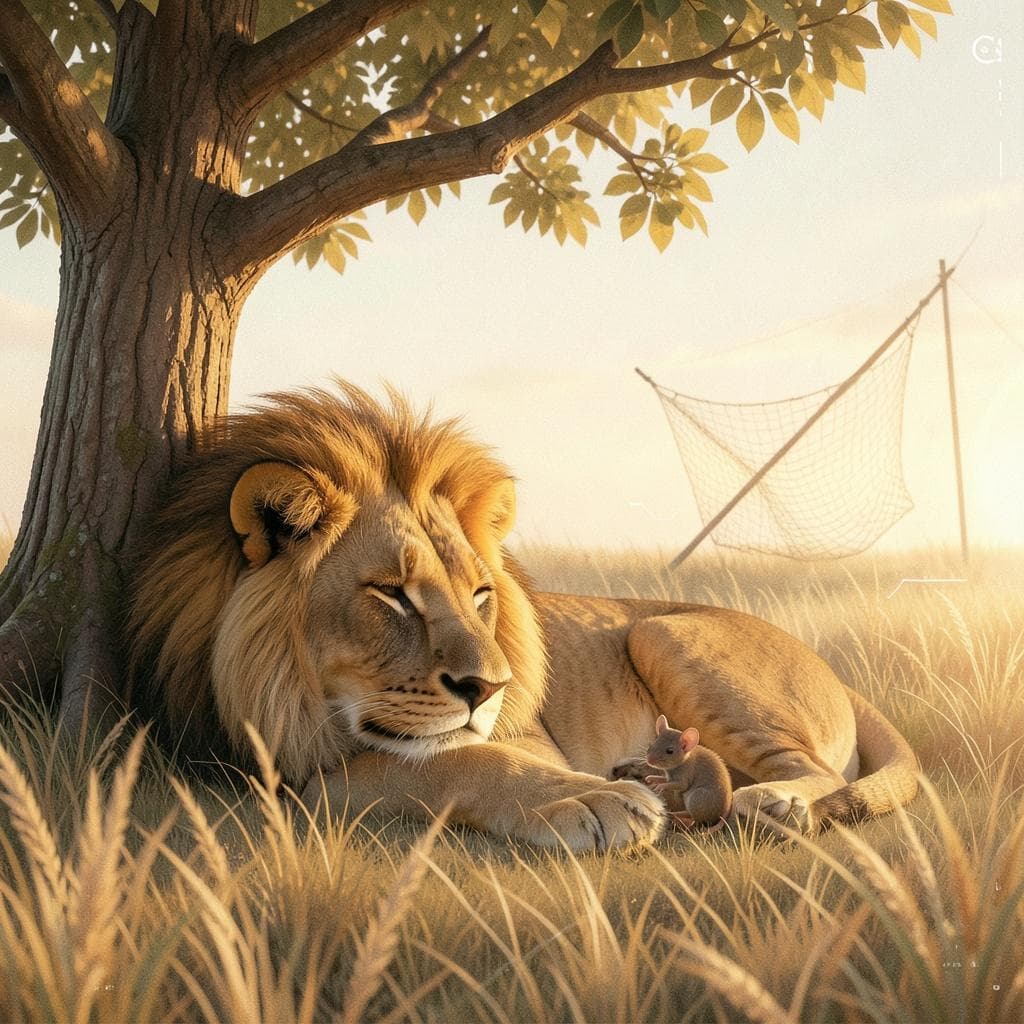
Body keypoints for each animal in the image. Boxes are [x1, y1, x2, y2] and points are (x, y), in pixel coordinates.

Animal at [128, 383, 919, 851]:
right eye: (391, 593)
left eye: (481, 594)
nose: (492, 689)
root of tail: (837, 677)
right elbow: (427, 764)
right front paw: (606, 796)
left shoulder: (524, 743)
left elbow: (455, 757)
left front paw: (599, 799)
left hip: (659, 632)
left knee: (820, 771)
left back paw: (777, 803)